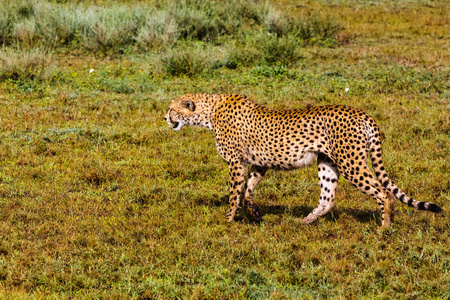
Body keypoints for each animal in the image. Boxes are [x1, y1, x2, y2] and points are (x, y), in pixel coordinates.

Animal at [163, 92, 442, 226]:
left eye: (171, 109)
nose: (165, 118)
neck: (209, 112)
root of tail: (362, 113)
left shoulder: (235, 163)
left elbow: (234, 193)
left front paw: (229, 219)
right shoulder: (259, 163)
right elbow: (249, 188)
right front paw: (254, 212)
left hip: (351, 162)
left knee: (382, 192)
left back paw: (384, 228)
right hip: (327, 163)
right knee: (328, 199)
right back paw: (304, 221)